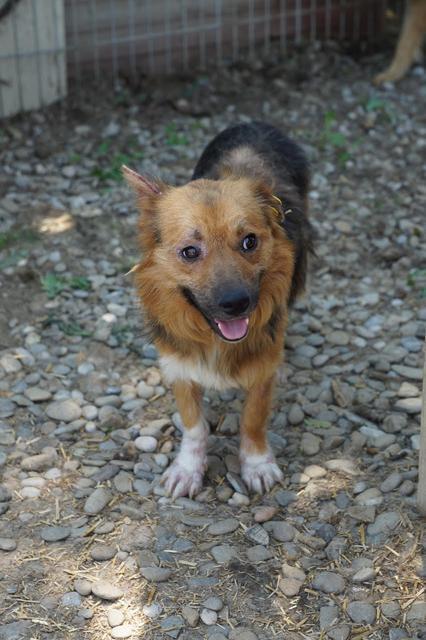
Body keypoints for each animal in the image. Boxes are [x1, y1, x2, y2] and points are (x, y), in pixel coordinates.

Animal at [123, 121, 312, 500]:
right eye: (190, 252)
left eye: (249, 242)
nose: (236, 303)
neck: (215, 338)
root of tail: (254, 123)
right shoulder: (180, 364)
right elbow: (194, 426)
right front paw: (187, 469)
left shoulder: (260, 369)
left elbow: (253, 419)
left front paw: (257, 464)